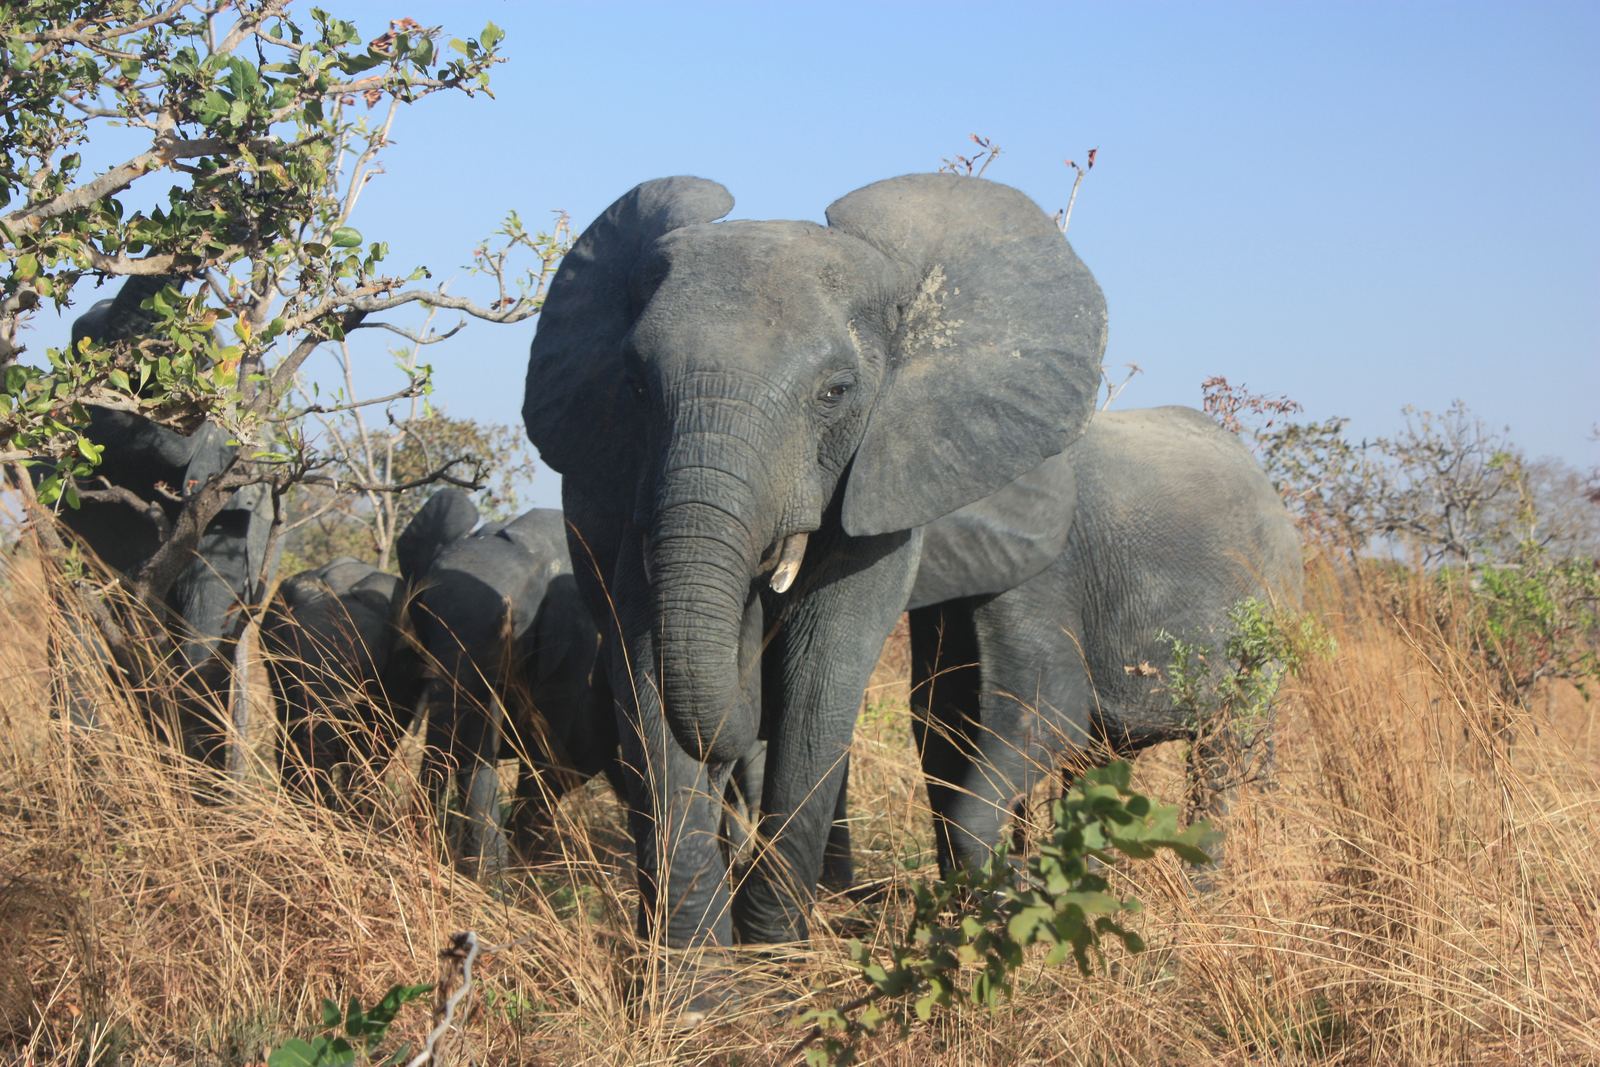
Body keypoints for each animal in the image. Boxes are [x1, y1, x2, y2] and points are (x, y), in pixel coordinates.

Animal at [522, 172, 1107, 952]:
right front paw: (697, 976)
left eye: (836, 392)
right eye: (636, 385)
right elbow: (646, 666)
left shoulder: (883, 469)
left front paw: (775, 956)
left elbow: (824, 667)